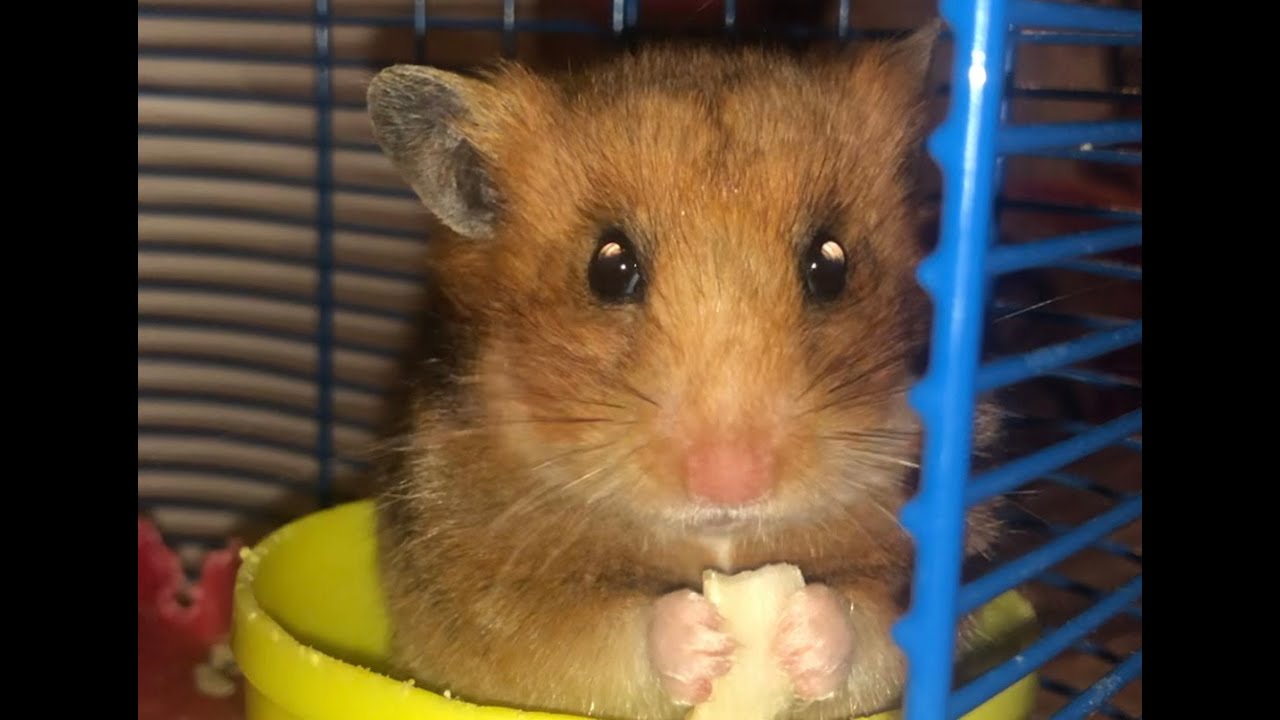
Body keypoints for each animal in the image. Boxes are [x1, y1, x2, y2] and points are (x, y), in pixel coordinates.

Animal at [366, 20, 1005, 720]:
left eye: (831, 264)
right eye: (609, 267)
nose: (731, 481)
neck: (721, 543)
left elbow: (875, 629)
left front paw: (804, 627)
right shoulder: (497, 600)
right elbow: (593, 636)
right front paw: (701, 638)